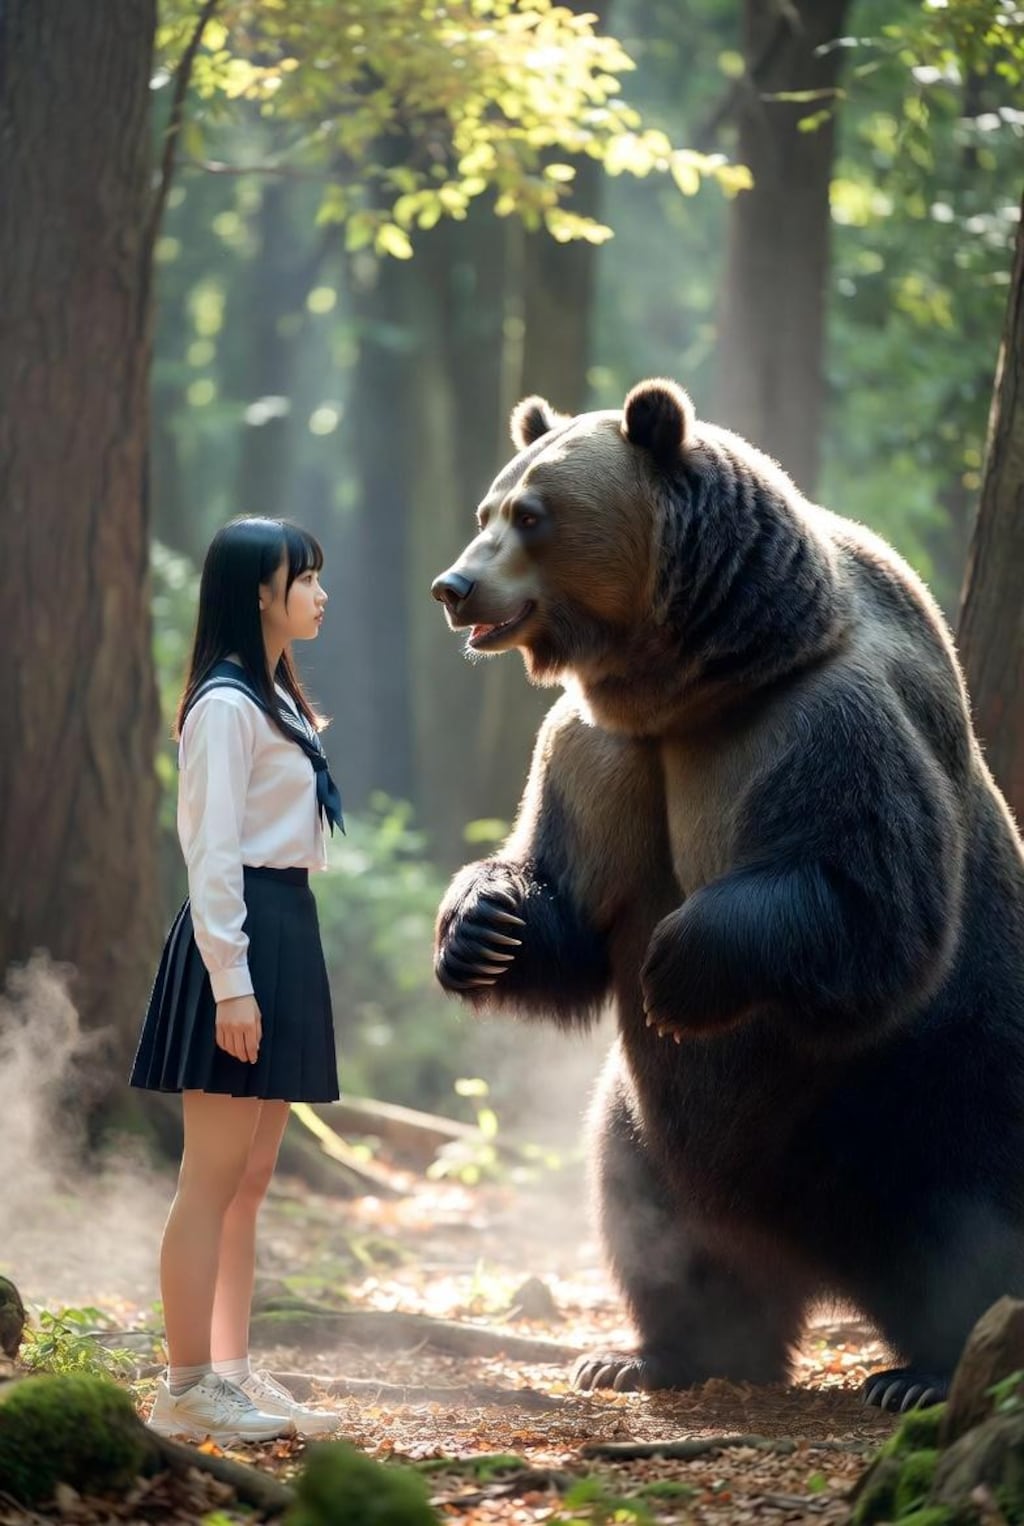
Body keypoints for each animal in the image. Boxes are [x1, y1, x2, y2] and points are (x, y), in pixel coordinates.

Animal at [430, 378, 1024, 1413]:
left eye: (532, 515)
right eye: (485, 510)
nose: (454, 586)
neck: (699, 683)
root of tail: (824, 1265)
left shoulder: (822, 724)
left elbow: (869, 900)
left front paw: (678, 963)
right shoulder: (599, 753)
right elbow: (564, 899)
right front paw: (481, 925)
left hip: (931, 1084)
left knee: (965, 1220)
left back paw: (924, 1372)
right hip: (657, 1133)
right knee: (645, 1211)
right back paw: (652, 1353)